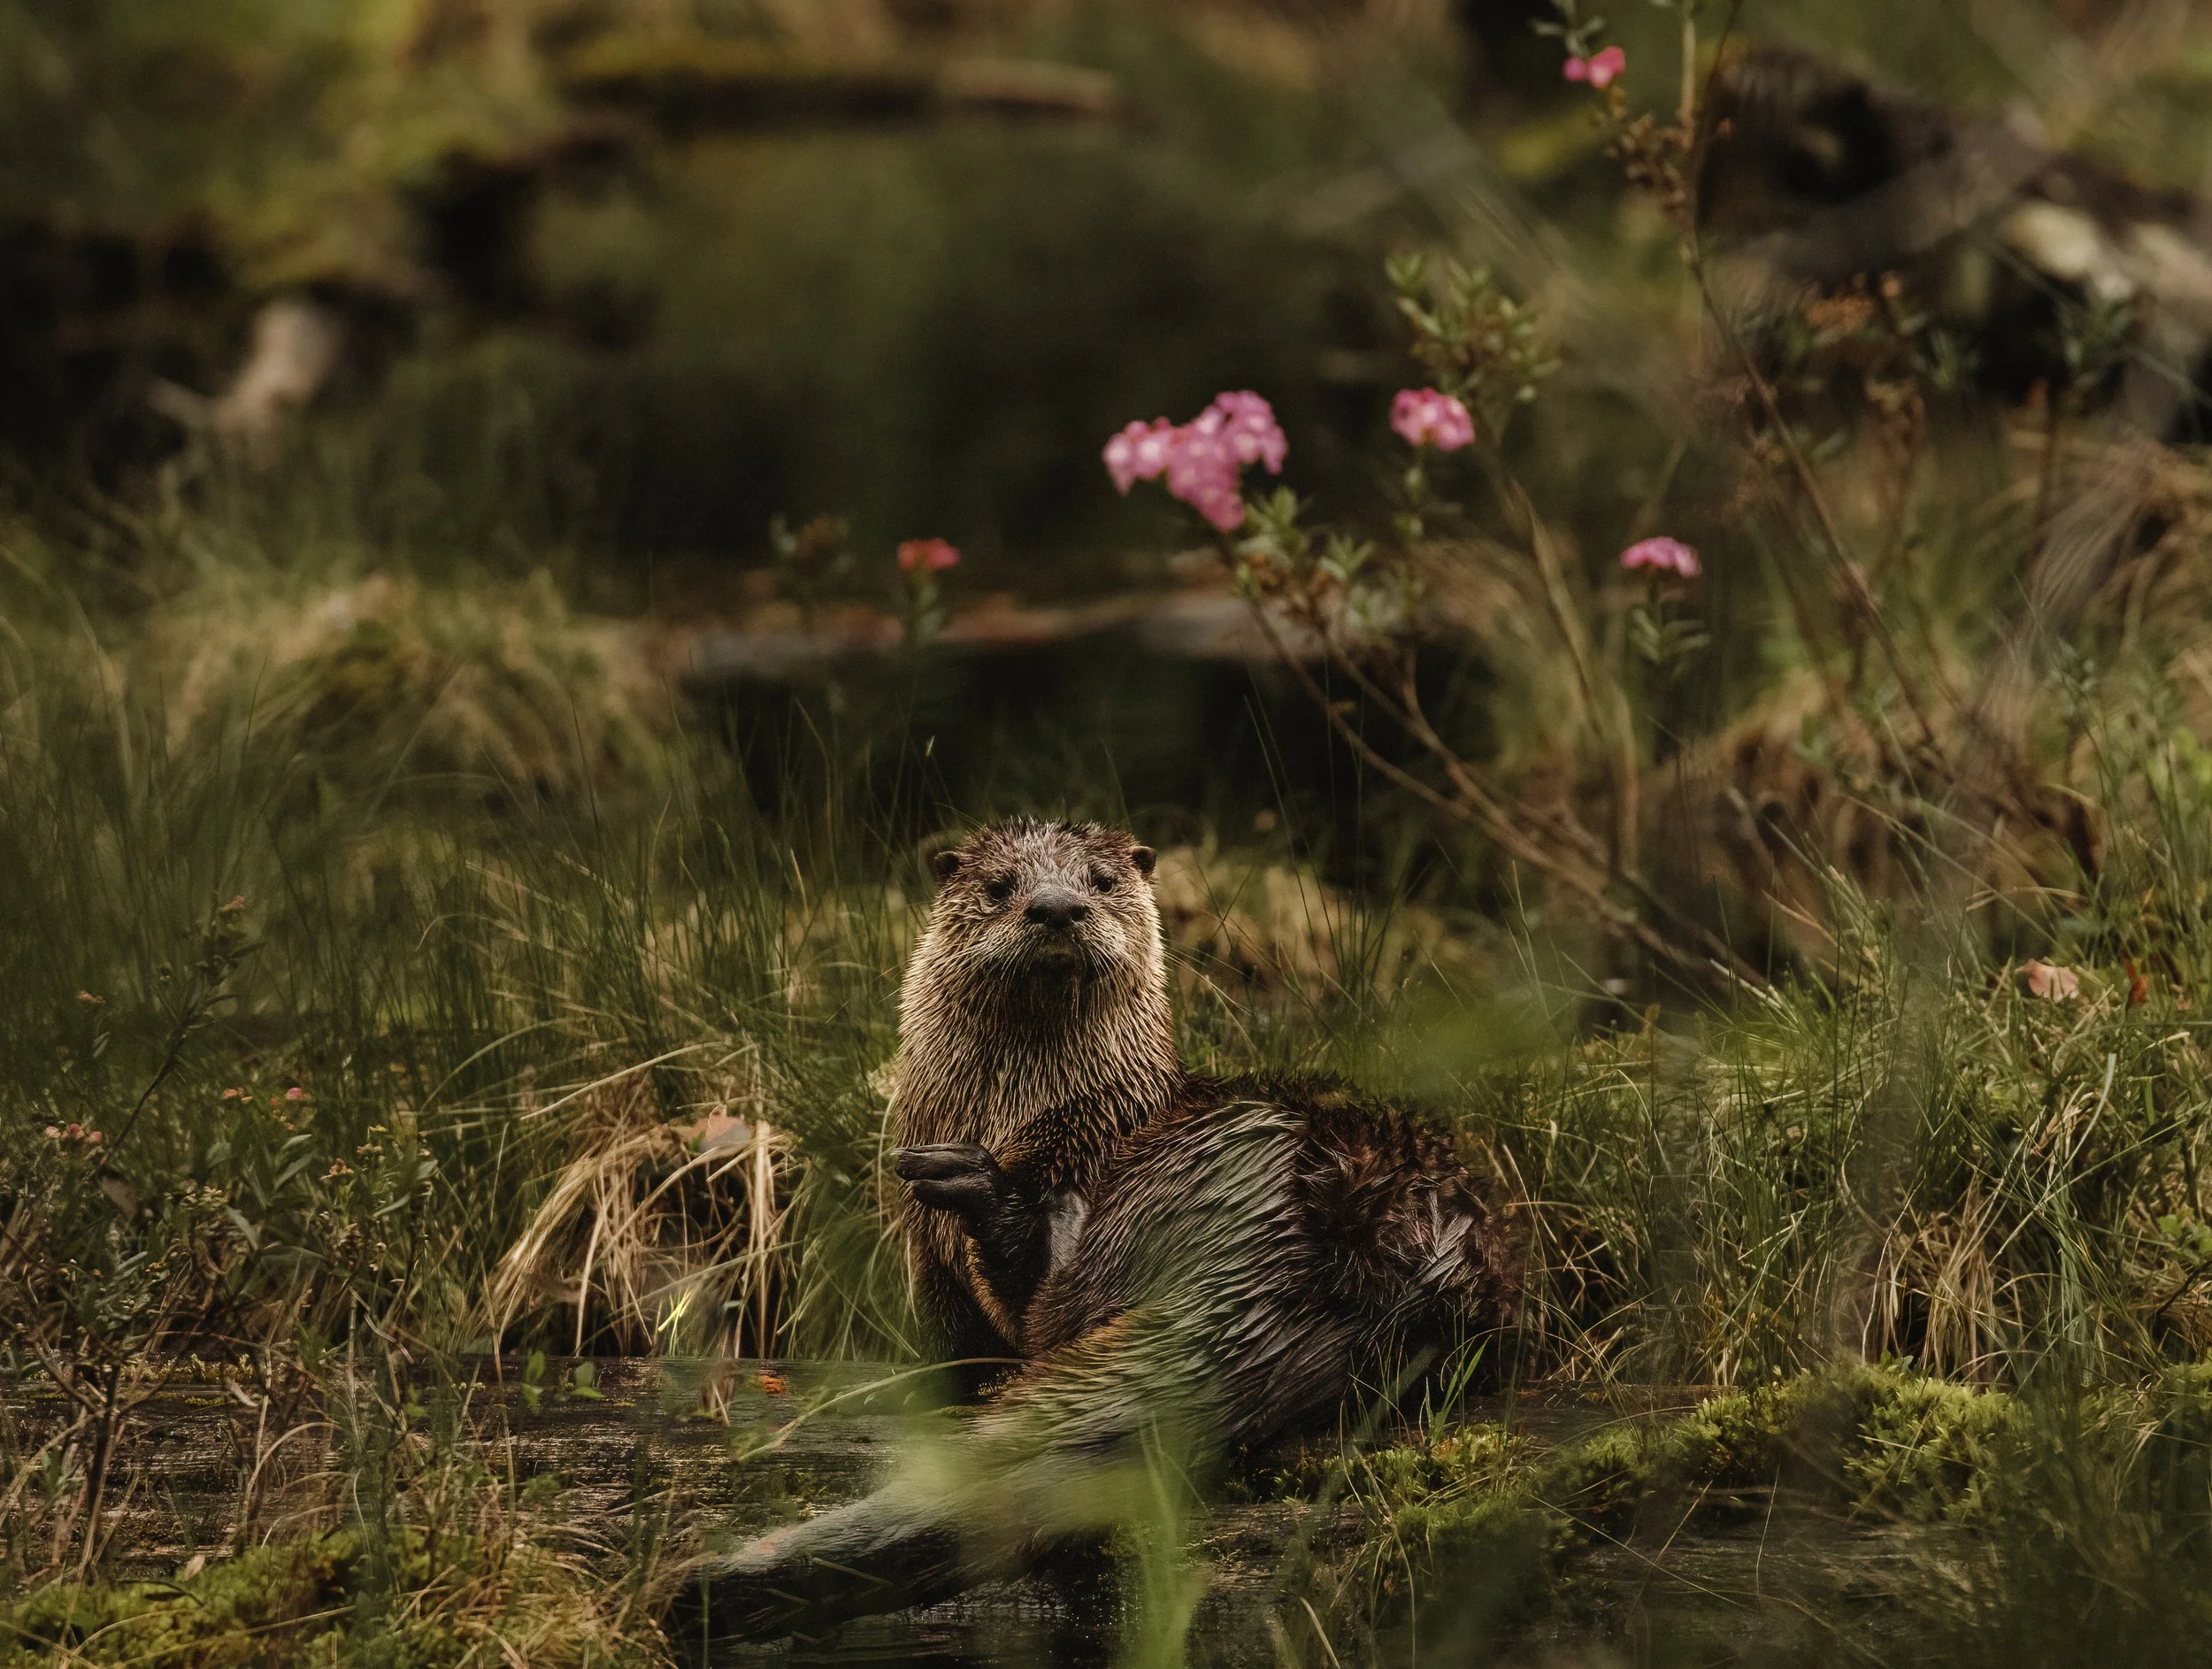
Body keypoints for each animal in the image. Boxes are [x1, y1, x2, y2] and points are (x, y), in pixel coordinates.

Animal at [674, 820, 1513, 1639]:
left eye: (1103, 882)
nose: (1056, 907)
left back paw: (981, 1190)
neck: (1035, 1114)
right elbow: (953, 1348)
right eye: (1001, 885)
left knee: (1052, 1308)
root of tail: (1337, 1256)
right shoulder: (927, 1264)